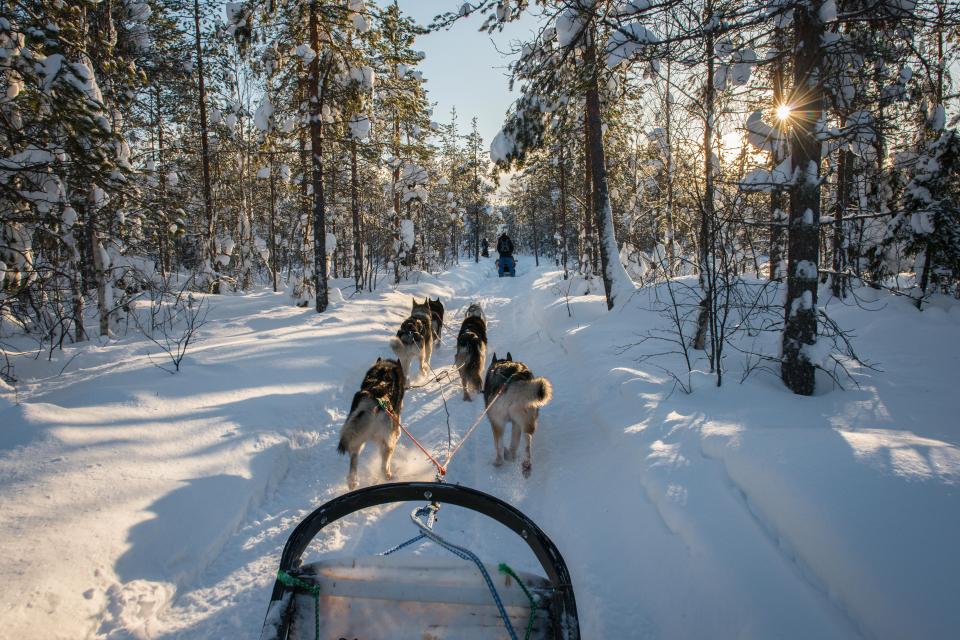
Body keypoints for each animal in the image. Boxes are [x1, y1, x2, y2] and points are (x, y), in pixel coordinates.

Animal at [338, 358, 404, 488]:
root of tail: (370, 402)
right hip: (387, 441)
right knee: (384, 466)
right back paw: (389, 476)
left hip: (357, 438)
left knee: (353, 461)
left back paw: (353, 482)